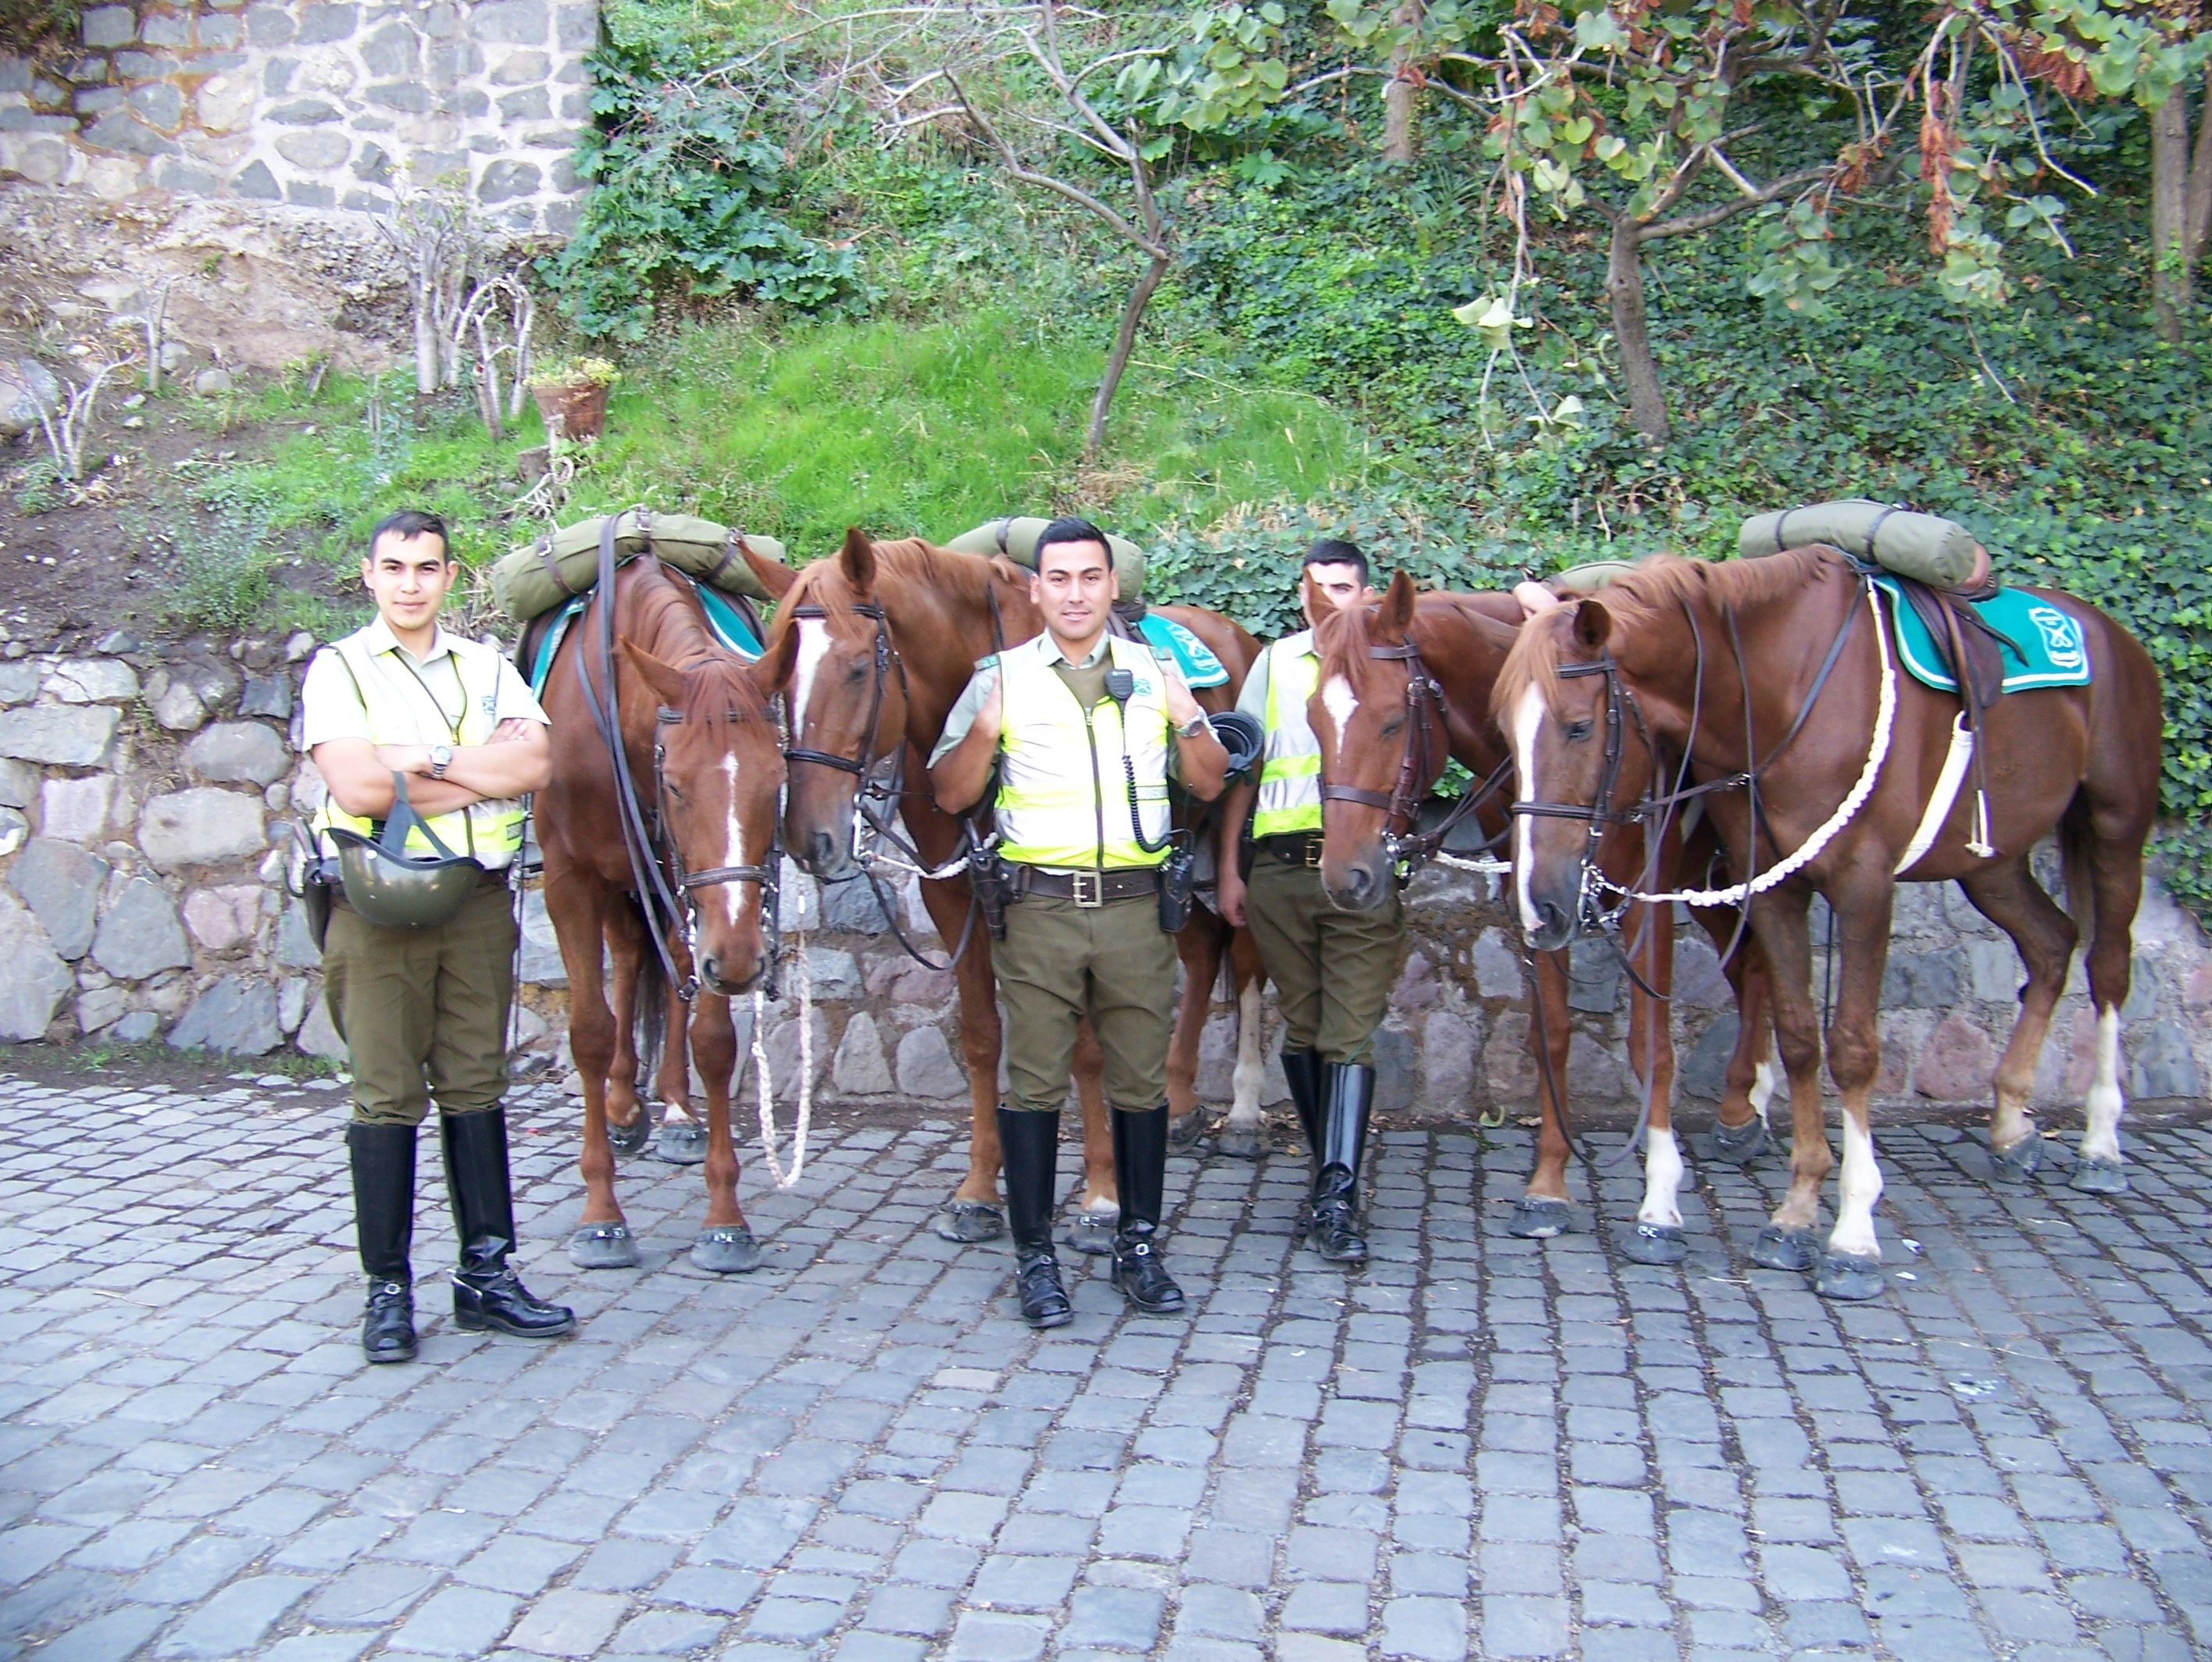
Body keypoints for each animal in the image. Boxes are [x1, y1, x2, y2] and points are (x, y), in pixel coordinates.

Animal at [533, 555, 796, 1275]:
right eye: (676, 785)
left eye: (776, 780)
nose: (742, 961)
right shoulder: (569, 882)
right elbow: (590, 1032)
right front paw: (601, 1215)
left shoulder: (706, 905)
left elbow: (714, 1041)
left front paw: (725, 1221)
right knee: (626, 960)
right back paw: (625, 1108)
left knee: (666, 963)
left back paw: (675, 1110)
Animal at [1309, 575, 1778, 1257]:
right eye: (1314, 720)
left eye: (1393, 721)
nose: (1347, 877)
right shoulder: (1537, 902)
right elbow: (1550, 1035)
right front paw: (1548, 1187)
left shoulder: (1646, 903)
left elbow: (1651, 1046)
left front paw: (1659, 1201)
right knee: (1747, 969)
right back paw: (1745, 1103)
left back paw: (1751, 1109)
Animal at [1504, 553, 2159, 1310]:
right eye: (1506, 732)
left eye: (1579, 727)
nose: (1541, 903)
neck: (1781, 693)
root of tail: (2108, 630)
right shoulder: (1775, 888)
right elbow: (1796, 1039)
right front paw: (1794, 1214)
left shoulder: (1864, 890)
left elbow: (1851, 1050)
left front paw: (1851, 1234)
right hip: (1990, 860)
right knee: (2051, 945)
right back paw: (2010, 1123)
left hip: (2116, 830)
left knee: (2107, 966)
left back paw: (2101, 1142)